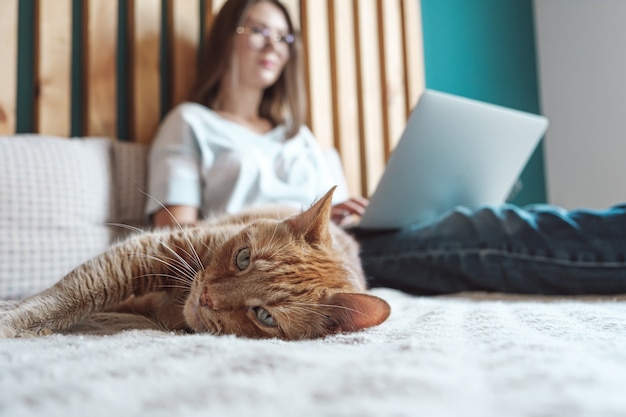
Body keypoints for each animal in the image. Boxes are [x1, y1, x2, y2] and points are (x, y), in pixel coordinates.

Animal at [0, 188, 388, 338]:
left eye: (264, 316)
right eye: (243, 257)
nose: (206, 298)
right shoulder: (150, 250)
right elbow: (70, 294)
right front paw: (13, 318)